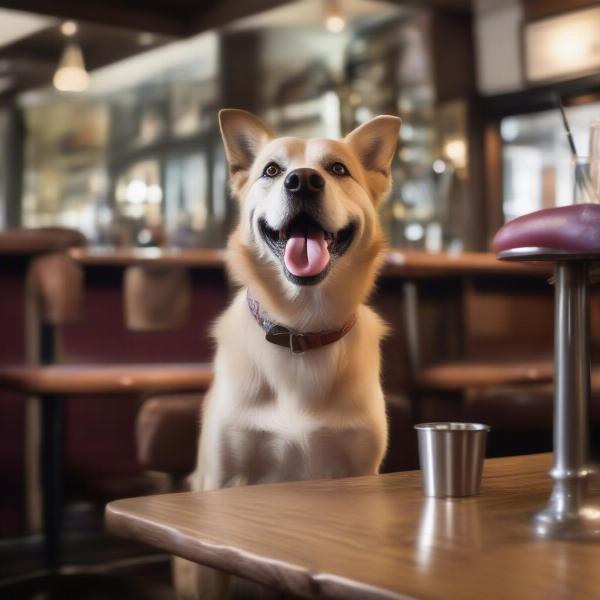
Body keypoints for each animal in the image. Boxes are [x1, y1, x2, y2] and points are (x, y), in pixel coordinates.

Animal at [176, 109, 400, 600]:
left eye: (338, 169)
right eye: (272, 171)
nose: (302, 182)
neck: (302, 328)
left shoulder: (361, 472)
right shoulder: (220, 484)